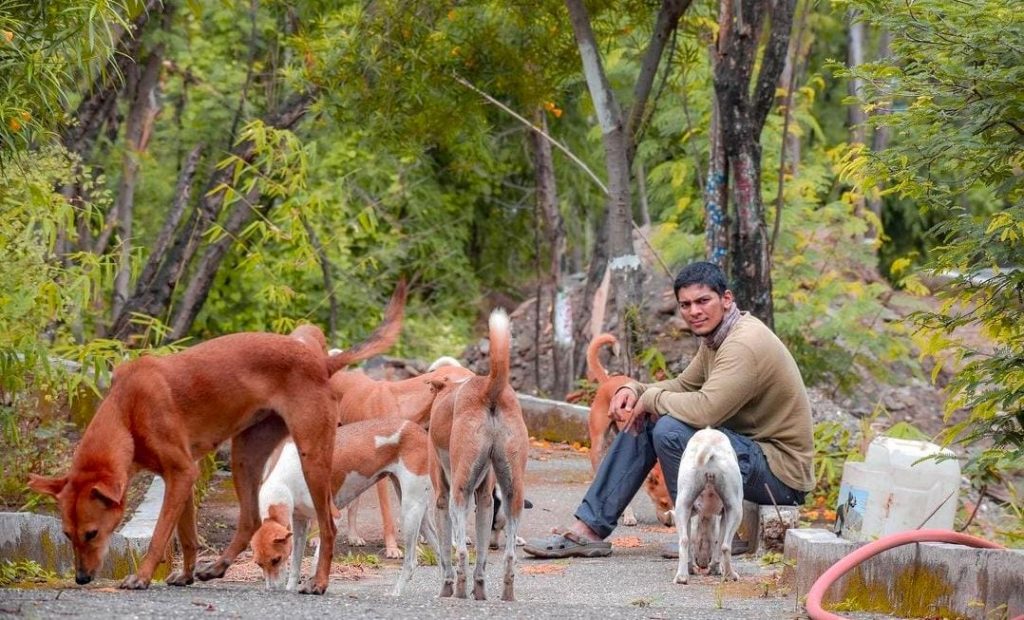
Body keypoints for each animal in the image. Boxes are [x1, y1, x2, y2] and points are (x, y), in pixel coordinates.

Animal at [253, 416, 438, 594]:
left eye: (276, 559)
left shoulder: (332, 518)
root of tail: (419, 430)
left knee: (411, 563)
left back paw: (395, 593)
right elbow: (295, 564)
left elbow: (318, 558)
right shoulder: (299, 523)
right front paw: (291, 588)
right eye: (258, 564)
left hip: (410, 512)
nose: (271, 590)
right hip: (420, 516)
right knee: (441, 553)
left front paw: (315, 582)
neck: (287, 476)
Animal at [428, 309, 532, 598]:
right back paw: (501, 595)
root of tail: (488, 389)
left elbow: (445, 557)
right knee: (508, 557)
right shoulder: (486, 498)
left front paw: (445, 590)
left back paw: (461, 592)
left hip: (459, 494)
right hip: (511, 493)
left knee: (462, 554)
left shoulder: (442, 498)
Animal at [675, 428, 741, 582]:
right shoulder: (724, 516)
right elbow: (718, 545)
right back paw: (730, 575)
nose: (703, 564)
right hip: (736, 511)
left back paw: (682, 577)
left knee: (684, 540)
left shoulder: (690, 516)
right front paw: (716, 569)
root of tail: (710, 444)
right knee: (725, 546)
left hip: (682, 505)